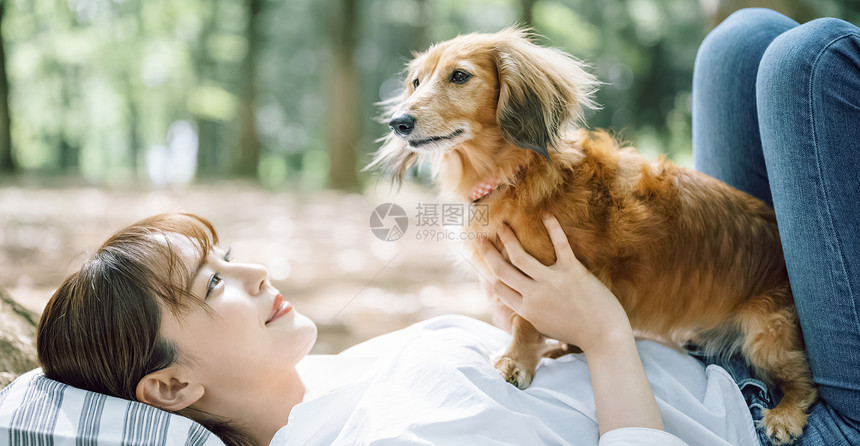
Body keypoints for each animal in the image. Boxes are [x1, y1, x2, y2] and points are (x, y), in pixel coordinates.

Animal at [368, 29, 812, 444]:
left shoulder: (540, 275)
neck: (515, 173)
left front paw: (516, 362)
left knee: (805, 381)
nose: (399, 123)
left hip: (764, 335)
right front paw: (555, 348)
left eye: (459, 76)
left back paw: (785, 415)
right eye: (416, 82)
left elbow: (525, 323)